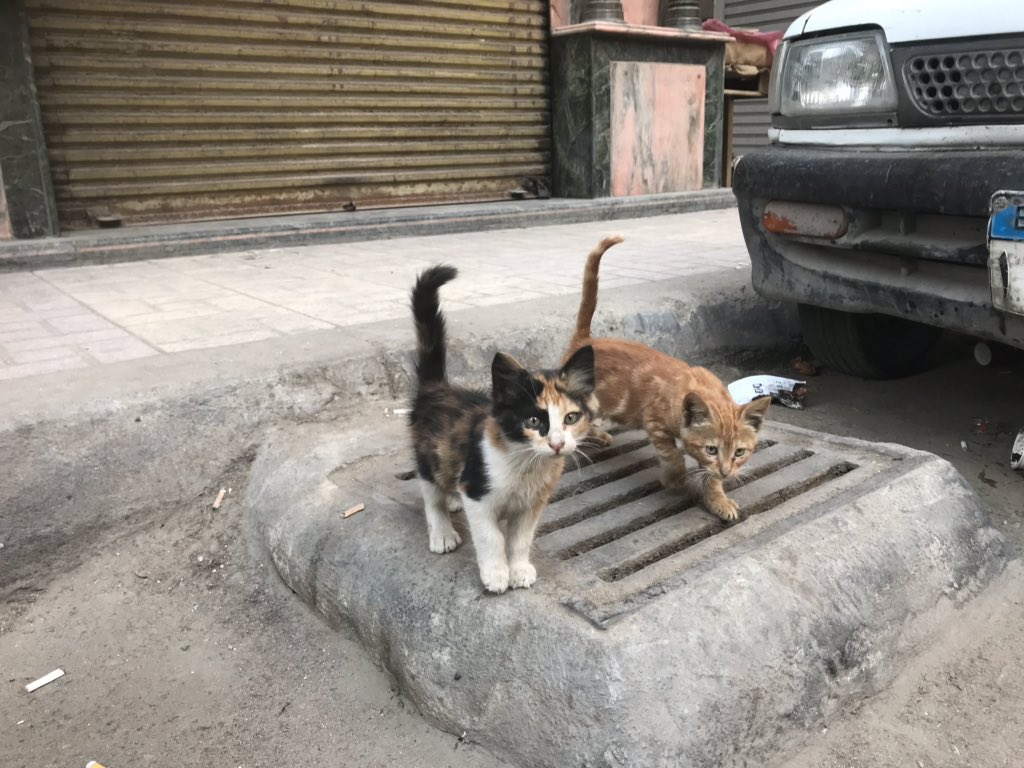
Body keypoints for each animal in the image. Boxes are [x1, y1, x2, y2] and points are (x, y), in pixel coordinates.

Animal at [409, 264, 598, 593]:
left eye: (571, 418)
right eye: (534, 421)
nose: (558, 444)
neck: (525, 464)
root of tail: (437, 388)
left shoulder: (532, 504)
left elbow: (520, 538)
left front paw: (519, 569)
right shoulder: (477, 491)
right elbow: (491, 538)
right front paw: (496, 574)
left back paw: (452, 500)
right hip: (428, 453)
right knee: (431, 494)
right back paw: (442, 531)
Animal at [565, 236, 770, 524]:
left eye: (740, 452)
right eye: (711, 449)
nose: (726, 472)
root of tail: (585, 341)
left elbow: (709, 478)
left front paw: (717, 499)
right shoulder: (654, 421)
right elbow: (673, 455)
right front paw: (675, 480)